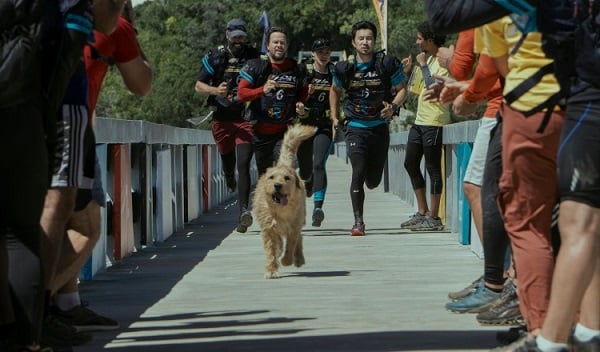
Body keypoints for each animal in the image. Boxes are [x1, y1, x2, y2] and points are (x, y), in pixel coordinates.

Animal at [254, 124, 318, 278]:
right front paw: (271, 270)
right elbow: (271, 251)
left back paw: (298, 259)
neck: (281, 210)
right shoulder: (269, 229)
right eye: (271, 177)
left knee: (299, 239)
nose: (278, 185)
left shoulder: (293, 226)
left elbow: (291, 244)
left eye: (287, 178)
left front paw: (287, 260)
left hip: (300, 218)